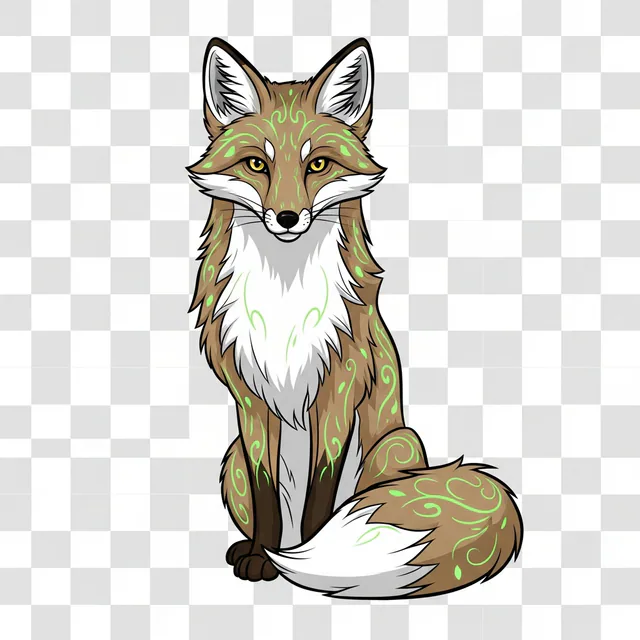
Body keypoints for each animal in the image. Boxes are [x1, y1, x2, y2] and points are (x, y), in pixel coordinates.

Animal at [187, 37, 523, 599]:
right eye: (256, 164)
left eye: (318, 165)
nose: (287, 218)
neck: (285, 292)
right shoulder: (250, 402)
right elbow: (266, 498)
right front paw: (262, 555)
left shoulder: (340, 388)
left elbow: (322, 499)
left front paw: (304, 558)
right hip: (231, 458)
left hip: (396, 445)